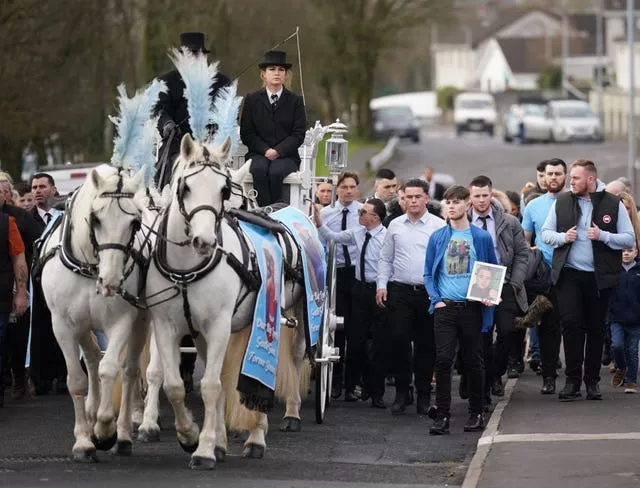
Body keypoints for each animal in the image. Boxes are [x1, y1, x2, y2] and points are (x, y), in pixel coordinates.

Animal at [37, 165, 151, 462]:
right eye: (96, 219)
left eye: (134, 223)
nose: (110, 281)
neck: (90, 267)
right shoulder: (63, 325)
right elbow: (77, 380)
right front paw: (84, 441)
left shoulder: (122, 321)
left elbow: (110, 369)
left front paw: (104, 430)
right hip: (82, 325)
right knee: (90, 358)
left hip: (141, 321)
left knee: (129, 370)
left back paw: (122, 433)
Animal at [141, 134, 310, 468]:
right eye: (185, 187)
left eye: (224, 190)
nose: (204, 241)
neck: (187, 268)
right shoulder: (167, 325)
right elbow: (173, 382)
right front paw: (188, 435)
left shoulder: (219, 326)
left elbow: (212, 385)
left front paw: (205, 449)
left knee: (281, 362)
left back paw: (265, 429)